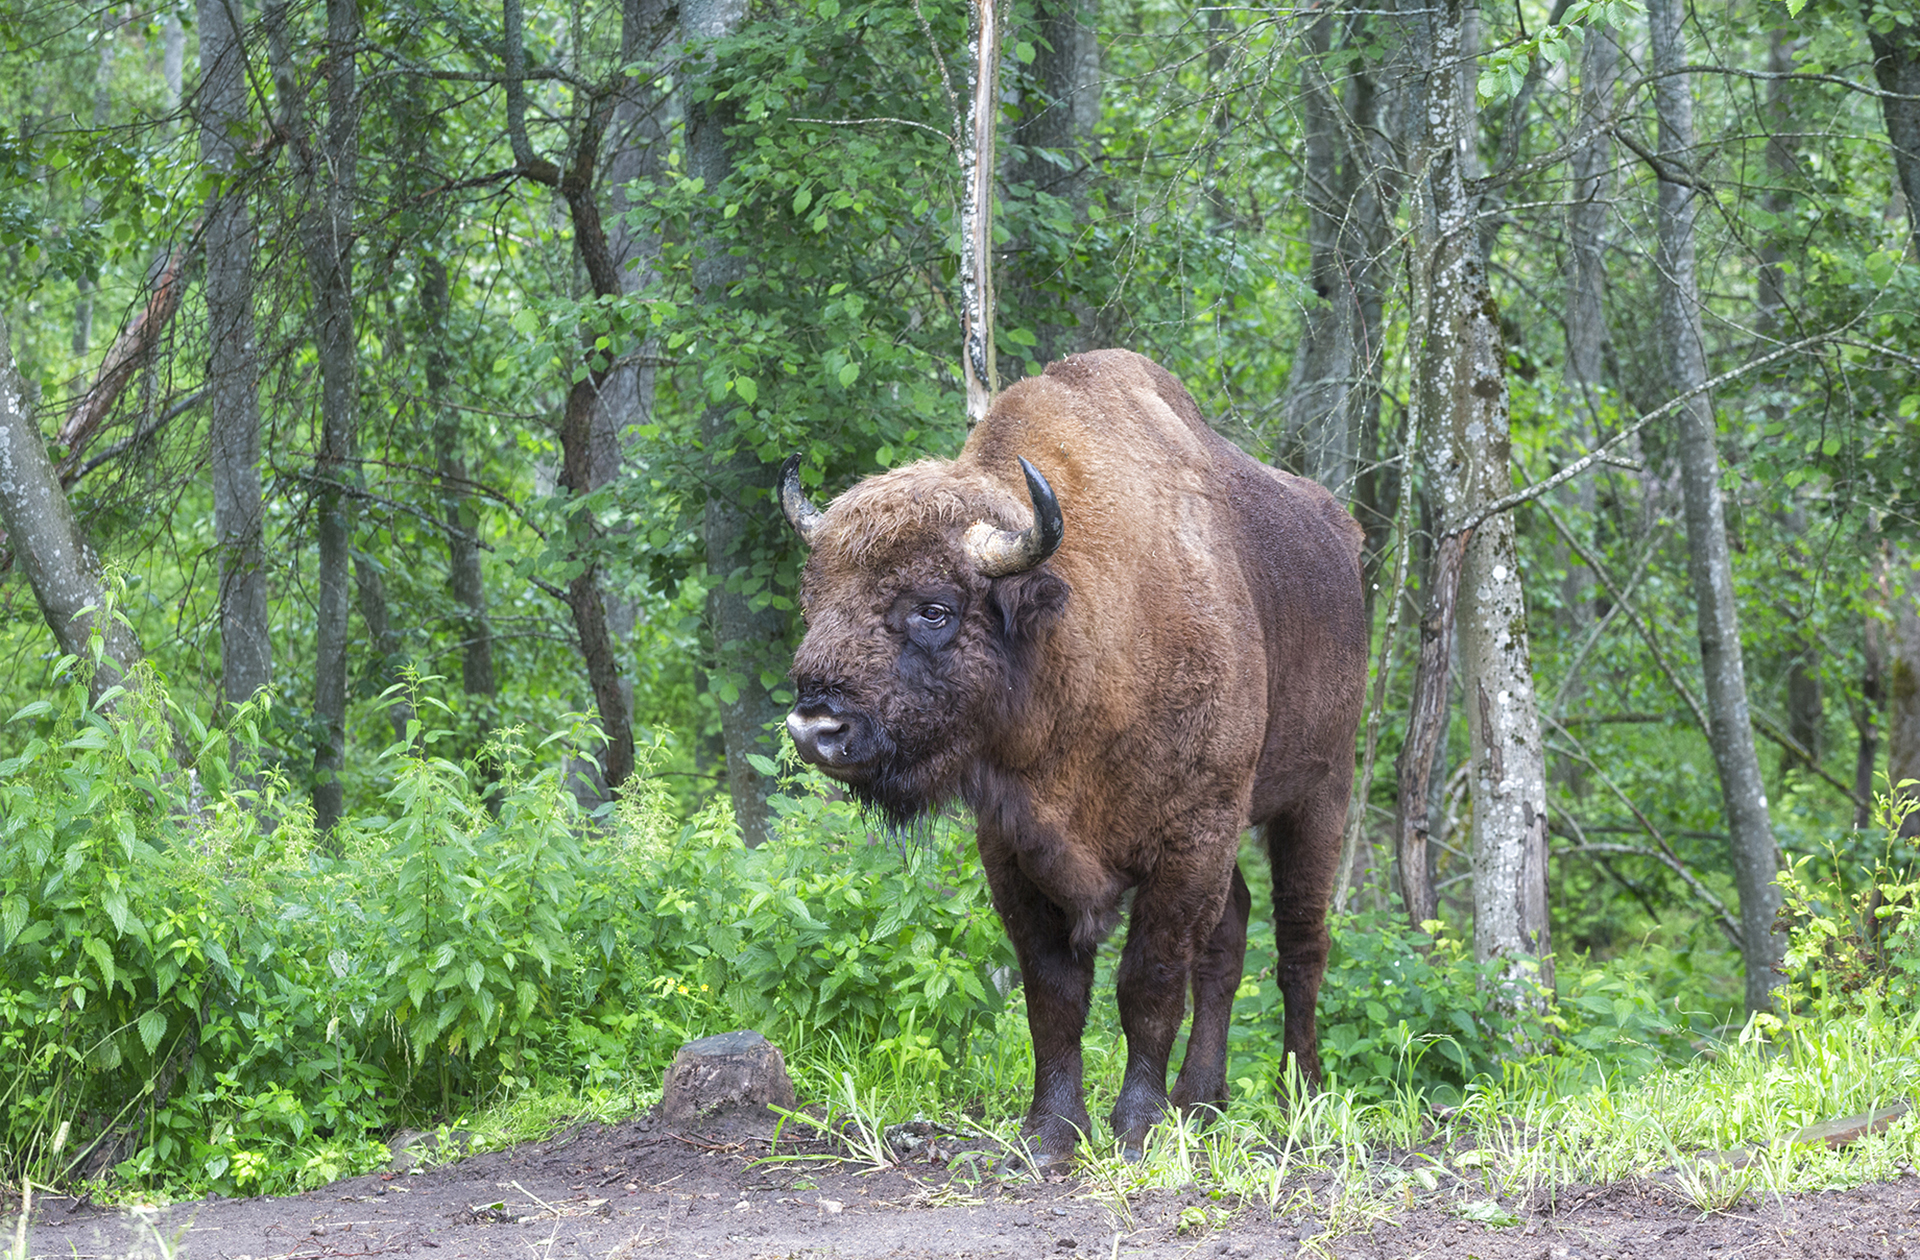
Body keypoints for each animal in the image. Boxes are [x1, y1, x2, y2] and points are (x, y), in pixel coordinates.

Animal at [775, 347, 1367, 1160]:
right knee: (1232, 939)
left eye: (934, 608)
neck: (1080, 630)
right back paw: (1200, 1103)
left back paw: (1298, 1099)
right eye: (814, 602)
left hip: (1318, 794)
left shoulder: (1190, 838)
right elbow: (1054, 992)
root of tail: (1343, 539)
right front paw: (1050, 1134)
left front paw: (1135, 1129)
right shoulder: (1016, 850)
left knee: (1300, 943)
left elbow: (1148, 981)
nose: (816, 729)